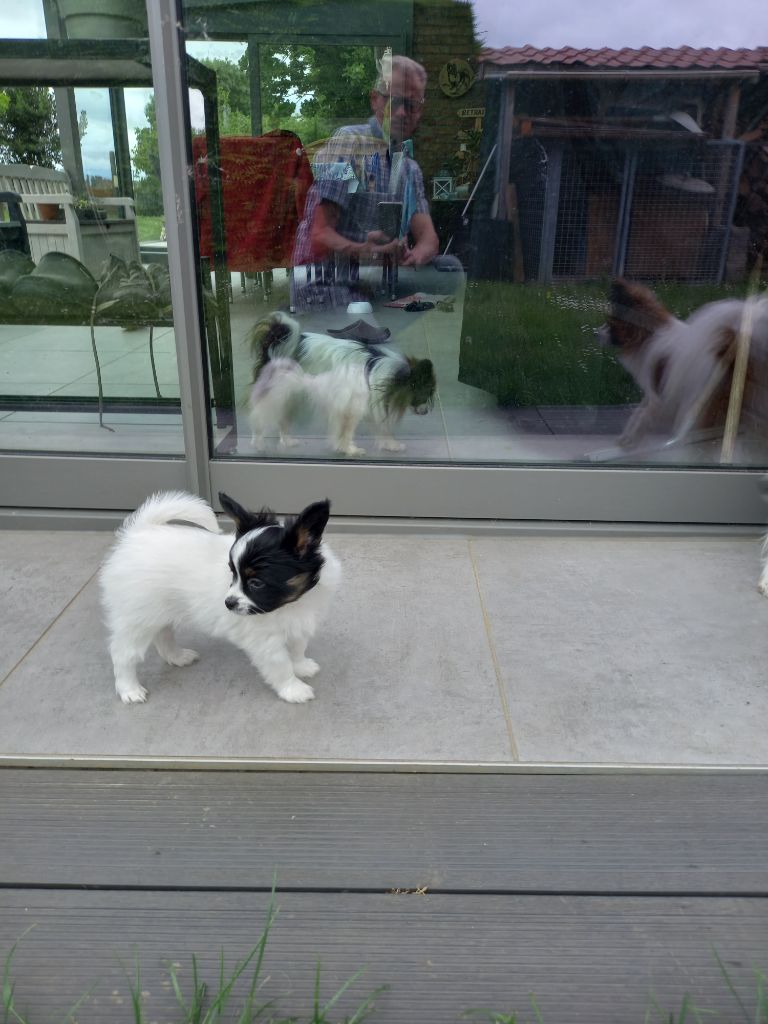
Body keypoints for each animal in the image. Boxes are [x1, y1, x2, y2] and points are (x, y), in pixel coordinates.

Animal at [100, 490, 340, 705]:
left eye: (256, 583)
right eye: (232, 573)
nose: (228, 603)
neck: (289, 604)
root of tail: (138, 533)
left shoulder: (300, 623)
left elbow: (298, 648)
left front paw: (302, 666)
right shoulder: (265, 641)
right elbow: (280, 666)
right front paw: (293, 689)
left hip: (157, 611)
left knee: (162, 634)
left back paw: (177, 657)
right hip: (137, 617)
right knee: (122, 653)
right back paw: (129, 689)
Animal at [248, 311, 436, 455]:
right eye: (424, 393)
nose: (426, 411)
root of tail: (275, 345)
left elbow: (383, 429)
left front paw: (392, 445)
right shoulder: (350, 407)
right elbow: (346, 431)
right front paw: (349, 450)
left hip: (290, 396)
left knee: (282, 419)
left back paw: (287, 441)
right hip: (277, 394)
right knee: (260, 418)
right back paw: (258, 444)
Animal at [597, 279, 768, 451]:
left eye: (609, 324)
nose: (595, 332)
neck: (649, 335)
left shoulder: (658, 395)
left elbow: (642, 417)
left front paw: (630, 440)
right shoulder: (655, 391)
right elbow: (638, 413)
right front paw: (626, 437)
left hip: (695, 400)